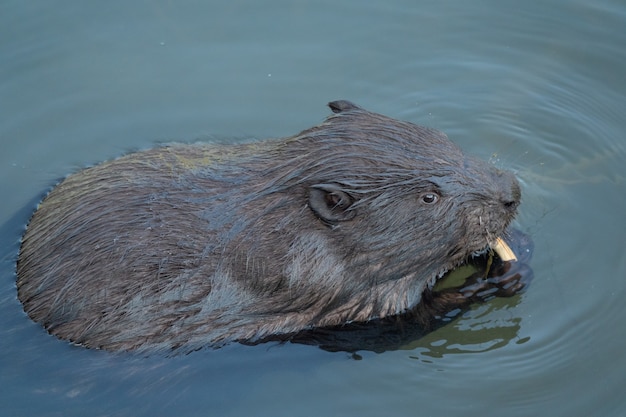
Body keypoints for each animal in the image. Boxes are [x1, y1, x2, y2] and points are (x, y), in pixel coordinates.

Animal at [14, 100, 528, 352]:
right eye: (429, 196)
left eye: (443, 137)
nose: (511, 190)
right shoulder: (318, 289)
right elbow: (400, 320)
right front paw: (488, 282)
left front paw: (511, 251)